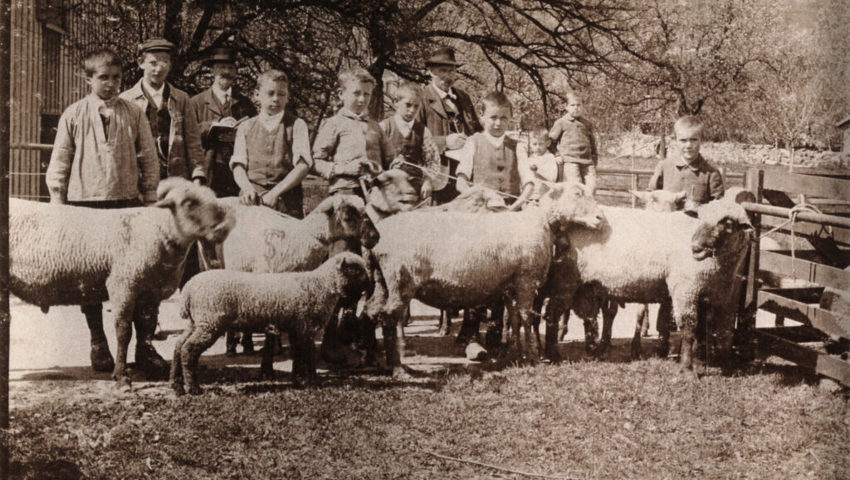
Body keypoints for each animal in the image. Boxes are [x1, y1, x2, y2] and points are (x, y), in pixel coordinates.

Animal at [10, 178, 235, 388]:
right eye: (189, 203)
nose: (225, 227)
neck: (156, 231)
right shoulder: (123, 284)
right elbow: (123, 331)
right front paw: (121, 376)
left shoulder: (150, 290)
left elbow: (146, 325)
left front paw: (150, 362)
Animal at [171, 251, 370, 394]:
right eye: (356, 269)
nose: (370, 285)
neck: (320, 285)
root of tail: (188, 289)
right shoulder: (304, 326)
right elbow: (308, 354)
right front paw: (312, 381)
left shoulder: (296, 327)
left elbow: (299, 355)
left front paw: (298, 380)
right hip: (210, 322)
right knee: (188, 349)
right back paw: (193, 388)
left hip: (196, 322)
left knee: (179, 346)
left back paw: (177, 385)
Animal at [362, 181, 608, 376]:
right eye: (576, 194)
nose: (600, 218)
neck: (539, 222)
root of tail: (376, 240)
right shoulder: (526, 279)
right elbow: (526, 317)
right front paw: (532, 356)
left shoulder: (511, 285)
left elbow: (515, 319)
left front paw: (517, 355)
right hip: (400, 279)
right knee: (389, 317)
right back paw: (398, 368)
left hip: (382, 281)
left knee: (369, 311)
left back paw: (371, 358)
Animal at [548, 196, 756, 376]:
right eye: (700, 218)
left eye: (728, 223)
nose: (695, 247)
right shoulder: (685, 289)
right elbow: (689, 328)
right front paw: (687, 370)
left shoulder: (706, 294)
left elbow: (701, 330)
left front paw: (698, 365)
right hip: (565, 279)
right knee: (551, 314)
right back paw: (553, 356)